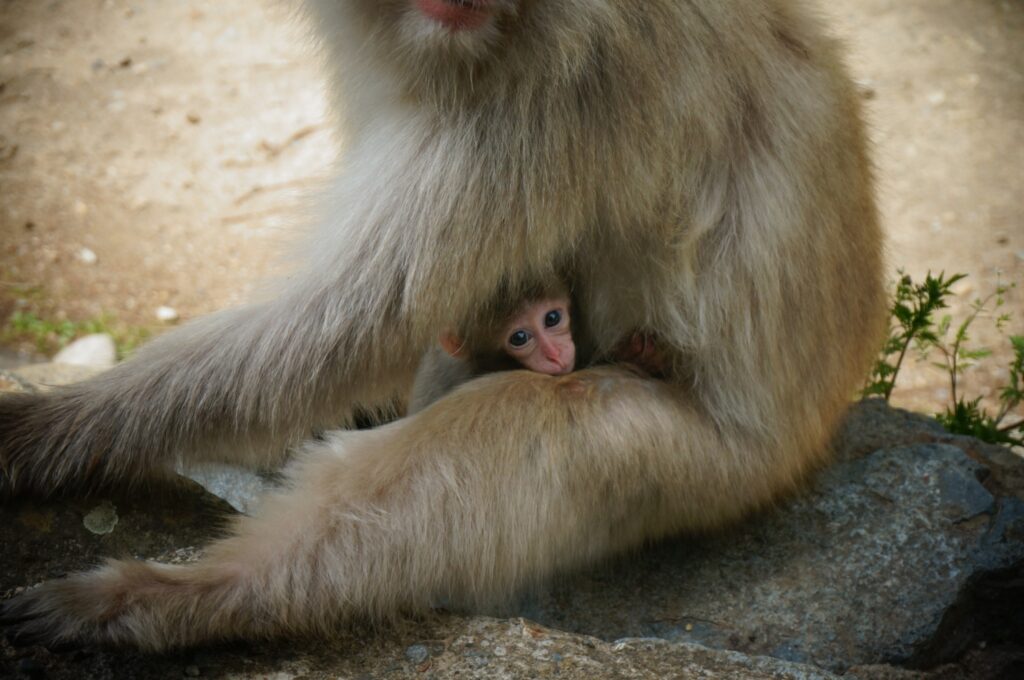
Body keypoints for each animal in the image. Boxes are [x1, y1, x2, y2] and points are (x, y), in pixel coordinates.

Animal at [0, 0, 884, 651]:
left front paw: (46, 430)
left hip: (703, 473)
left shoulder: (561, 92)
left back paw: (200, 597)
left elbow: (349, 326)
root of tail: (813, 437)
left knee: (505, 436)